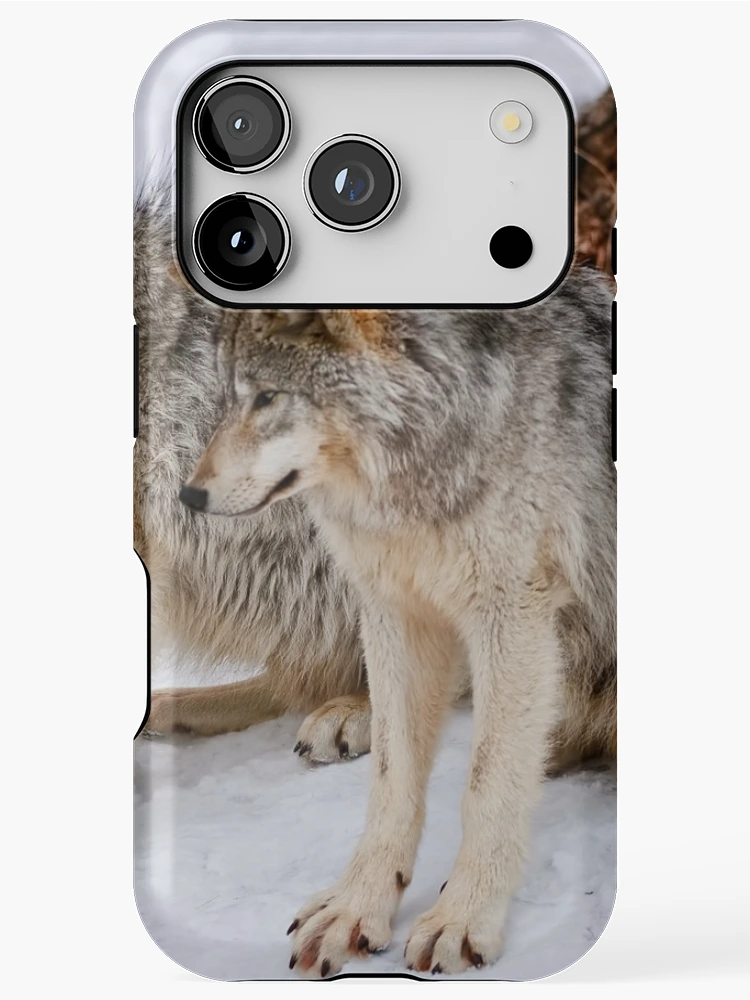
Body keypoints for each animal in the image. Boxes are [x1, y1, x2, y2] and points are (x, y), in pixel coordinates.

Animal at [176, 291, 616, 977]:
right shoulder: (391, 607)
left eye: (269, 397)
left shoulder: (513, 613)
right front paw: (356, 908)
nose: (188, 496)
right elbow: (392, 781)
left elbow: (486, 786)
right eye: (231, 395)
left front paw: (463, 917)